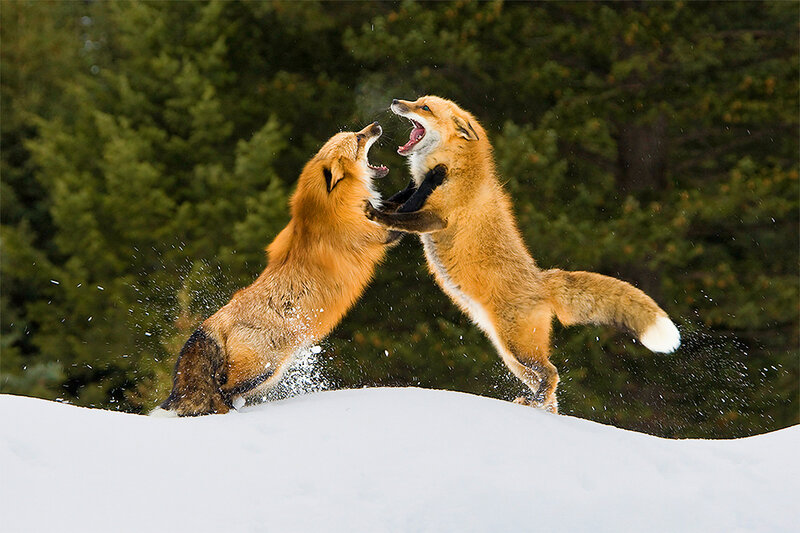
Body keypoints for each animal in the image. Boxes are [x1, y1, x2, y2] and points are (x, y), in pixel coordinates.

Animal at [154, 122, 398, 416]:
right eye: (359, 139)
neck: (329, 209)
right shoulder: (378, 235)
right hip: (261, 370)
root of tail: (215, 320)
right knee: (222, 391)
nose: (376, 125)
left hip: (266, 374)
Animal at [366, 96, 681, 413]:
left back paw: (535, 403)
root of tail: (542, 280)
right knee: (547, 385)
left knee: (552, 373)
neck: (456, 165)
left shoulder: (435, 218)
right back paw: (541, 408)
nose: (395, 101)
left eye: (425, 108)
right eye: (418, 101)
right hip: (511, 356)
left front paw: (377, 213)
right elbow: (396, 206)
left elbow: (398, 218)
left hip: (519, 349)